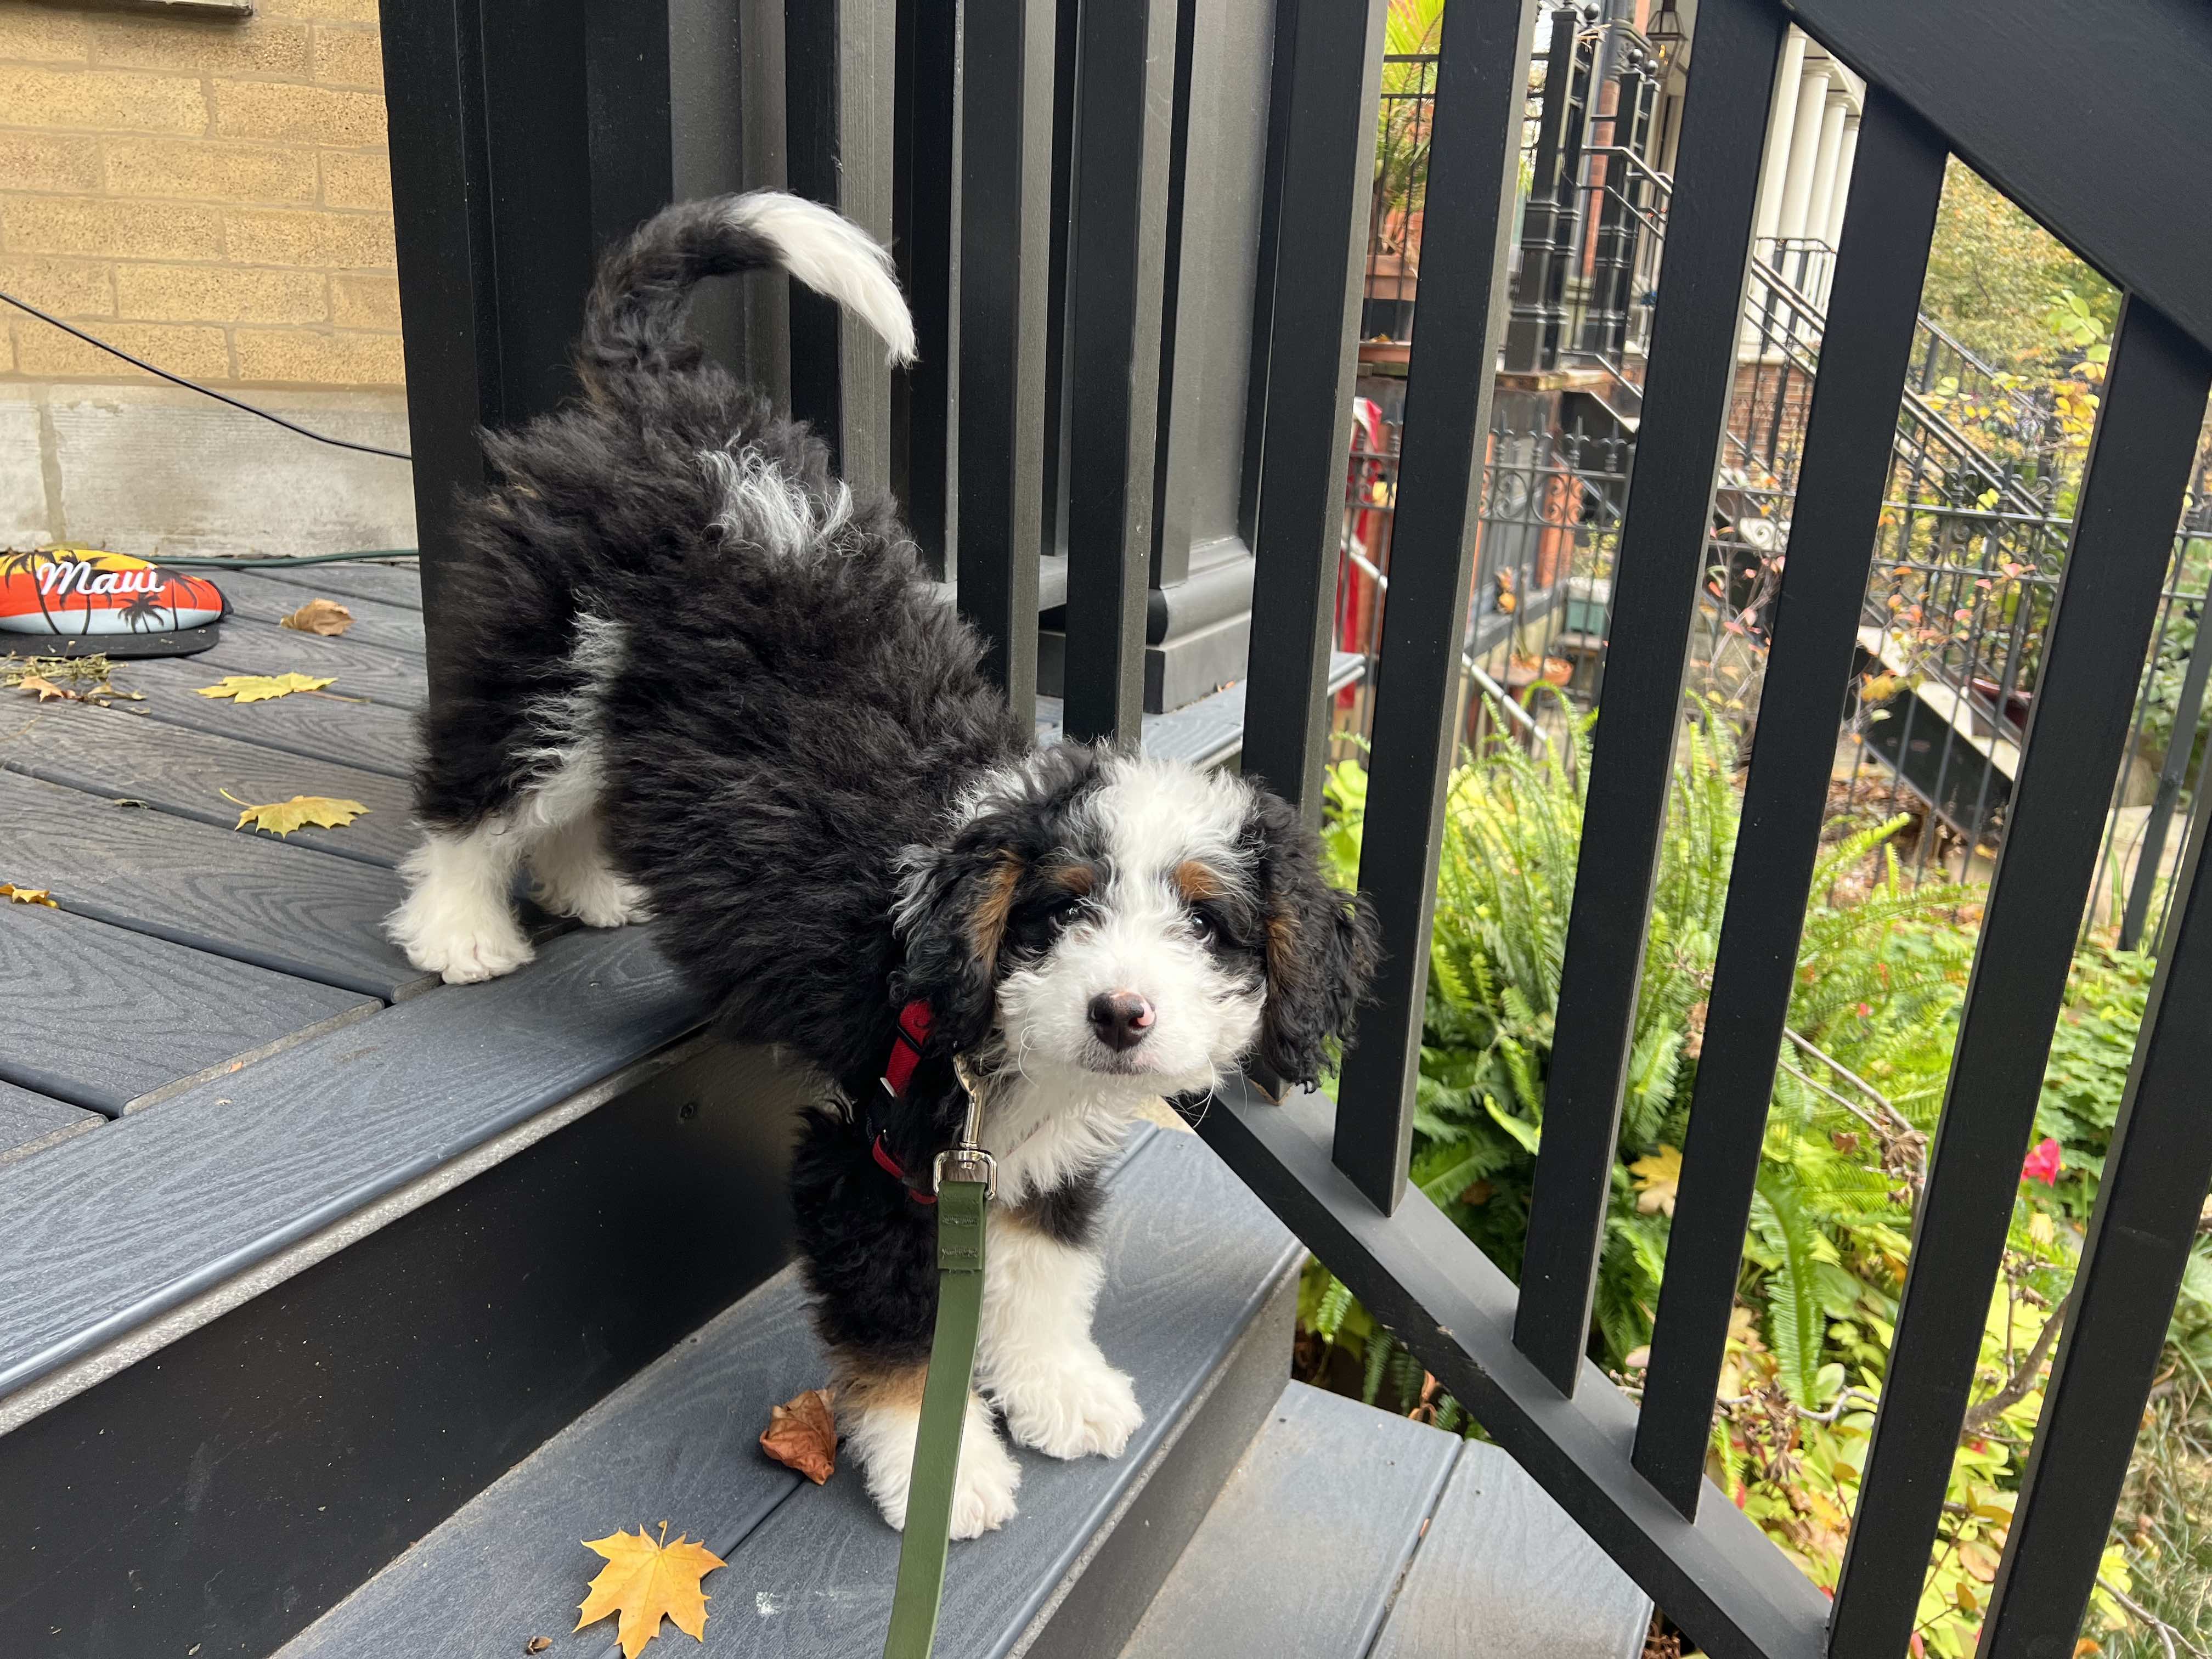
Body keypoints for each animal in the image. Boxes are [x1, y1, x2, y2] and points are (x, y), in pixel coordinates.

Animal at [389, 194, 1371, 1548]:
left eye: (1209, 925)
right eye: (1059, 911)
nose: (1120, 1013)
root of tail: (675, 405)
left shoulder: (1020, 1159)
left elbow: (1046, 1273)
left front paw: (1058, 1391)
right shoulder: (874, 1153)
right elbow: (902, 1333)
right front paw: (941, 1470)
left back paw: (594, 888)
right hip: (551, 644)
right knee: (479, 789)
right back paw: (459, 928)